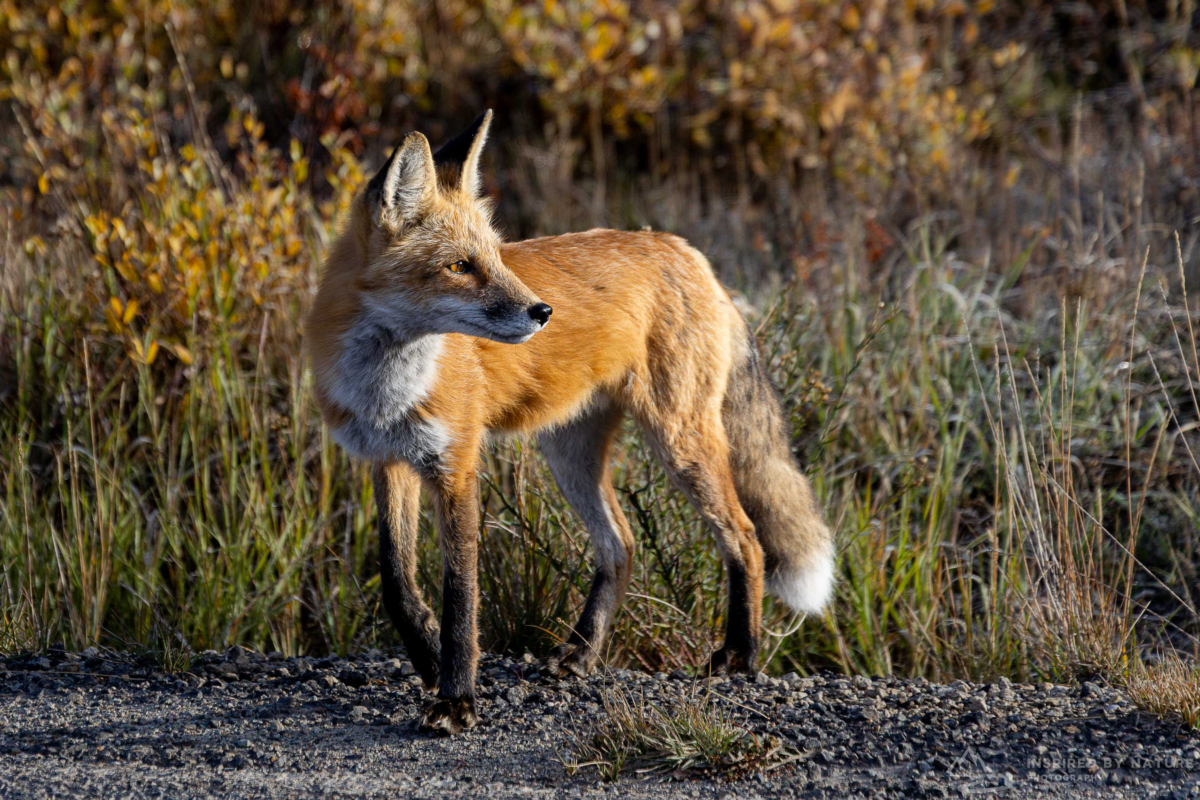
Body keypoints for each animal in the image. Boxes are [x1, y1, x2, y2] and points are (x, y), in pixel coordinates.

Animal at [304, 110, 835, 734]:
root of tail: (684, 248)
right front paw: (429, 659)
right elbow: (397, 580)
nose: (542, 312)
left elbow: (461, 595)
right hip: (570, 456)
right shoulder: (388, 460)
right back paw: (582, 652)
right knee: (622, 544)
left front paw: (457, 698)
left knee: (746, 537)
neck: (386, 383)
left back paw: (740, 655)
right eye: (459, 266)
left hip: (679, 443)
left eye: (496, 256)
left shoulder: (456, 464)